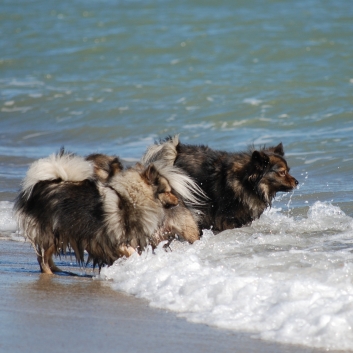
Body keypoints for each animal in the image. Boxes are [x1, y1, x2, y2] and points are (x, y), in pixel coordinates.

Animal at [14, 148, 204, 272]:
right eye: (167, 191)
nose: (178, 200)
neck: (133, 199)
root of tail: (42, 185)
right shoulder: (118, 240)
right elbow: (131, 251)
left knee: (45, 255)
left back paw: (56, 270)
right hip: (56, 232)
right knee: (43, 257)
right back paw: (49, 272)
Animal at [142, 135, 298, 231]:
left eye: (288, 170)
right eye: (282, 172)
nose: (297, 182)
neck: (246, 182)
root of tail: (176, 152)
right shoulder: (226, 218)